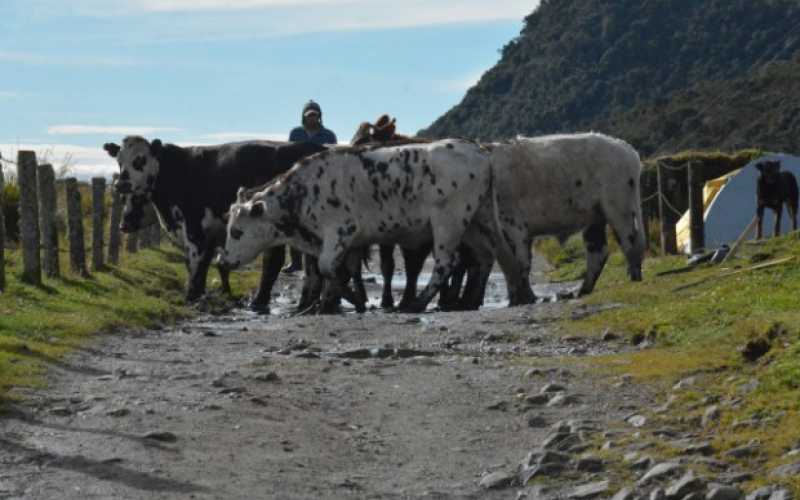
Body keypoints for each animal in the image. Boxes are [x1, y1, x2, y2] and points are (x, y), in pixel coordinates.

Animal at [104, 135, 328, 306]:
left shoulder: (194, 228)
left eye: (139, 160)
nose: (121, 184)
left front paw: (191, 297)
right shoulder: (211, 235)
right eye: (119, 161)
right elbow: (207, 265)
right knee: (310, 263)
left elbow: (194, 263)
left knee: (276, 261)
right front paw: (206, 293)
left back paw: (262, 302)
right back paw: (306, 303)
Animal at [216, 140, 496, 312]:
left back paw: (417, 303)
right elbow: (337, 271)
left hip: (448, 224)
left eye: (237, 231)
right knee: (483, 259)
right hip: (477, 224)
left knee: (446, 264)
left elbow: (327, 268)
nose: (223, 260)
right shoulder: (348, 242)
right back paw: (469, 301)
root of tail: (477, 150)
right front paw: (334, 304)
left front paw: (347, 300)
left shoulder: (341, 231)